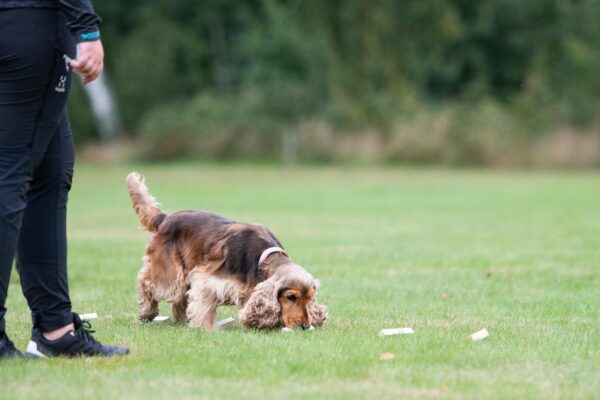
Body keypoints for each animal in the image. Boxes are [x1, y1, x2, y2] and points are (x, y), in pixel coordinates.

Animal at [124, 173, 326, 332]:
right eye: (291, 297)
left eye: (310, 299)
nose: (305, 326)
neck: (264, 258)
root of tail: (165, 218)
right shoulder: (207, 279)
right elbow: (203, 305)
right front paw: (204, 327)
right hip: (170, 273)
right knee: (146, 281)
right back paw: (147, 312)